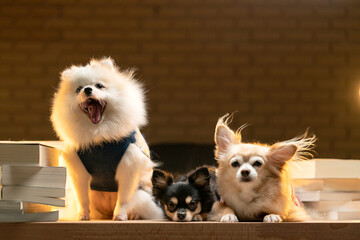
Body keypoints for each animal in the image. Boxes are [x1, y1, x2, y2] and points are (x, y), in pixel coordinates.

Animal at [50, 57, 163, 221]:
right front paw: (83, 215)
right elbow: (82, 197)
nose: (87, 89)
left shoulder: (128, 165)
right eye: (78, 89)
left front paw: (120, 215)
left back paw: (132, 215)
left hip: (140, 195)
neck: (99, 133)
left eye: (99, 86)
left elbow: (123, 197)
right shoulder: (79, 171)